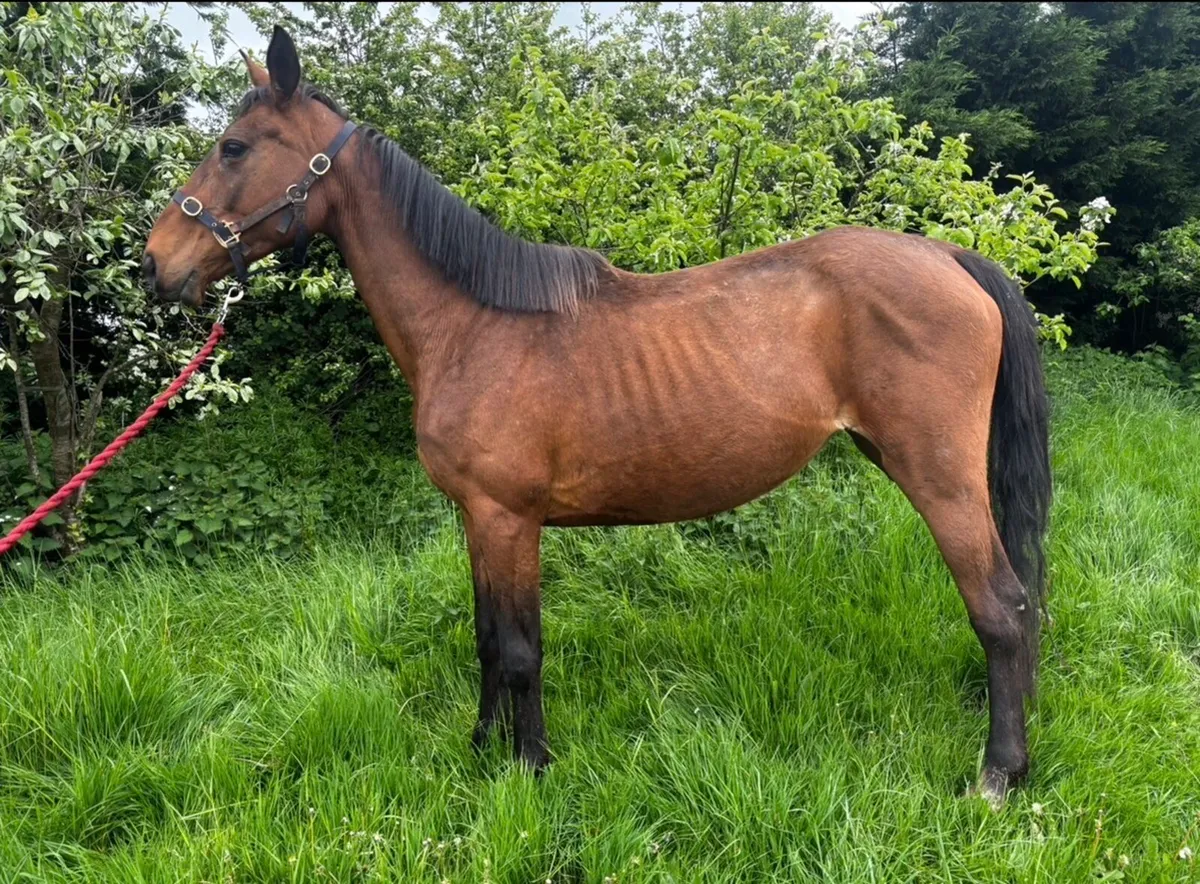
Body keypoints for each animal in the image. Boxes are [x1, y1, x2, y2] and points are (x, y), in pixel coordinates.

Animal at [143, 27, 1050, 807]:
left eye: (234, 147)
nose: (155, 265)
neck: (472, 324)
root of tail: (950, 257)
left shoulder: (508, 519)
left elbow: (519, 648)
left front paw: (530, 768)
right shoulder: (477, 519)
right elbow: (486, 636)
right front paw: (481, 747)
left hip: (941, 480)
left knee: (1003, 611)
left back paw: (998, 776)